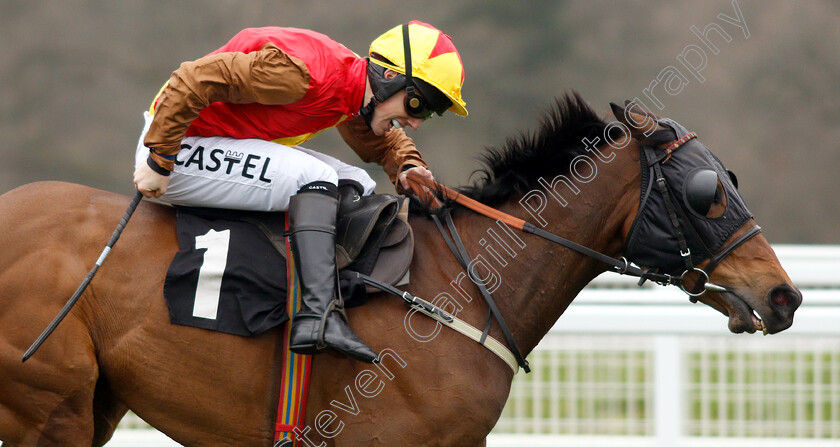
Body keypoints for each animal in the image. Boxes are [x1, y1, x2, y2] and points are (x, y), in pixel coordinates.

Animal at [0, 93, 800, 446]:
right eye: (708, 193)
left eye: (726, 178)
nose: (784, 294)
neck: (461, 286)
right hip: (50, 404)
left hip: (95, 401)